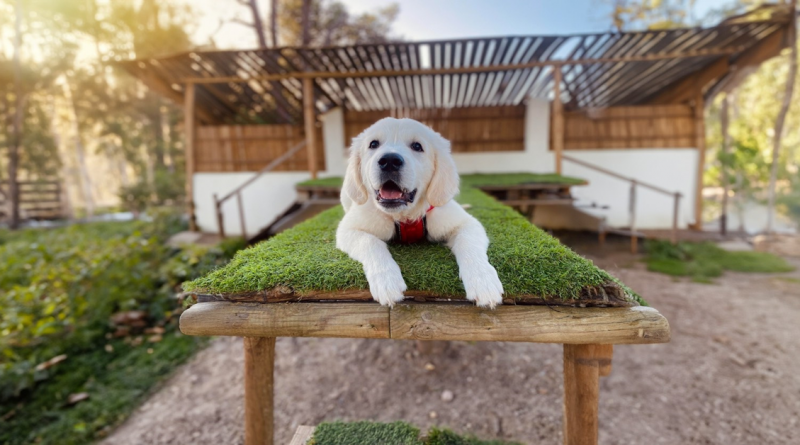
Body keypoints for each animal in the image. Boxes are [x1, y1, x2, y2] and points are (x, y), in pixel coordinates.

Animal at [334, 116, 504, 306]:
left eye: (417, 146)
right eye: (373, 144)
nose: (389, 161)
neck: (405, 215)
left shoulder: (467, 223)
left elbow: (468, 243)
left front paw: (483, 280)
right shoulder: (348, 229)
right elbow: (370, 242)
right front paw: (386, 280)